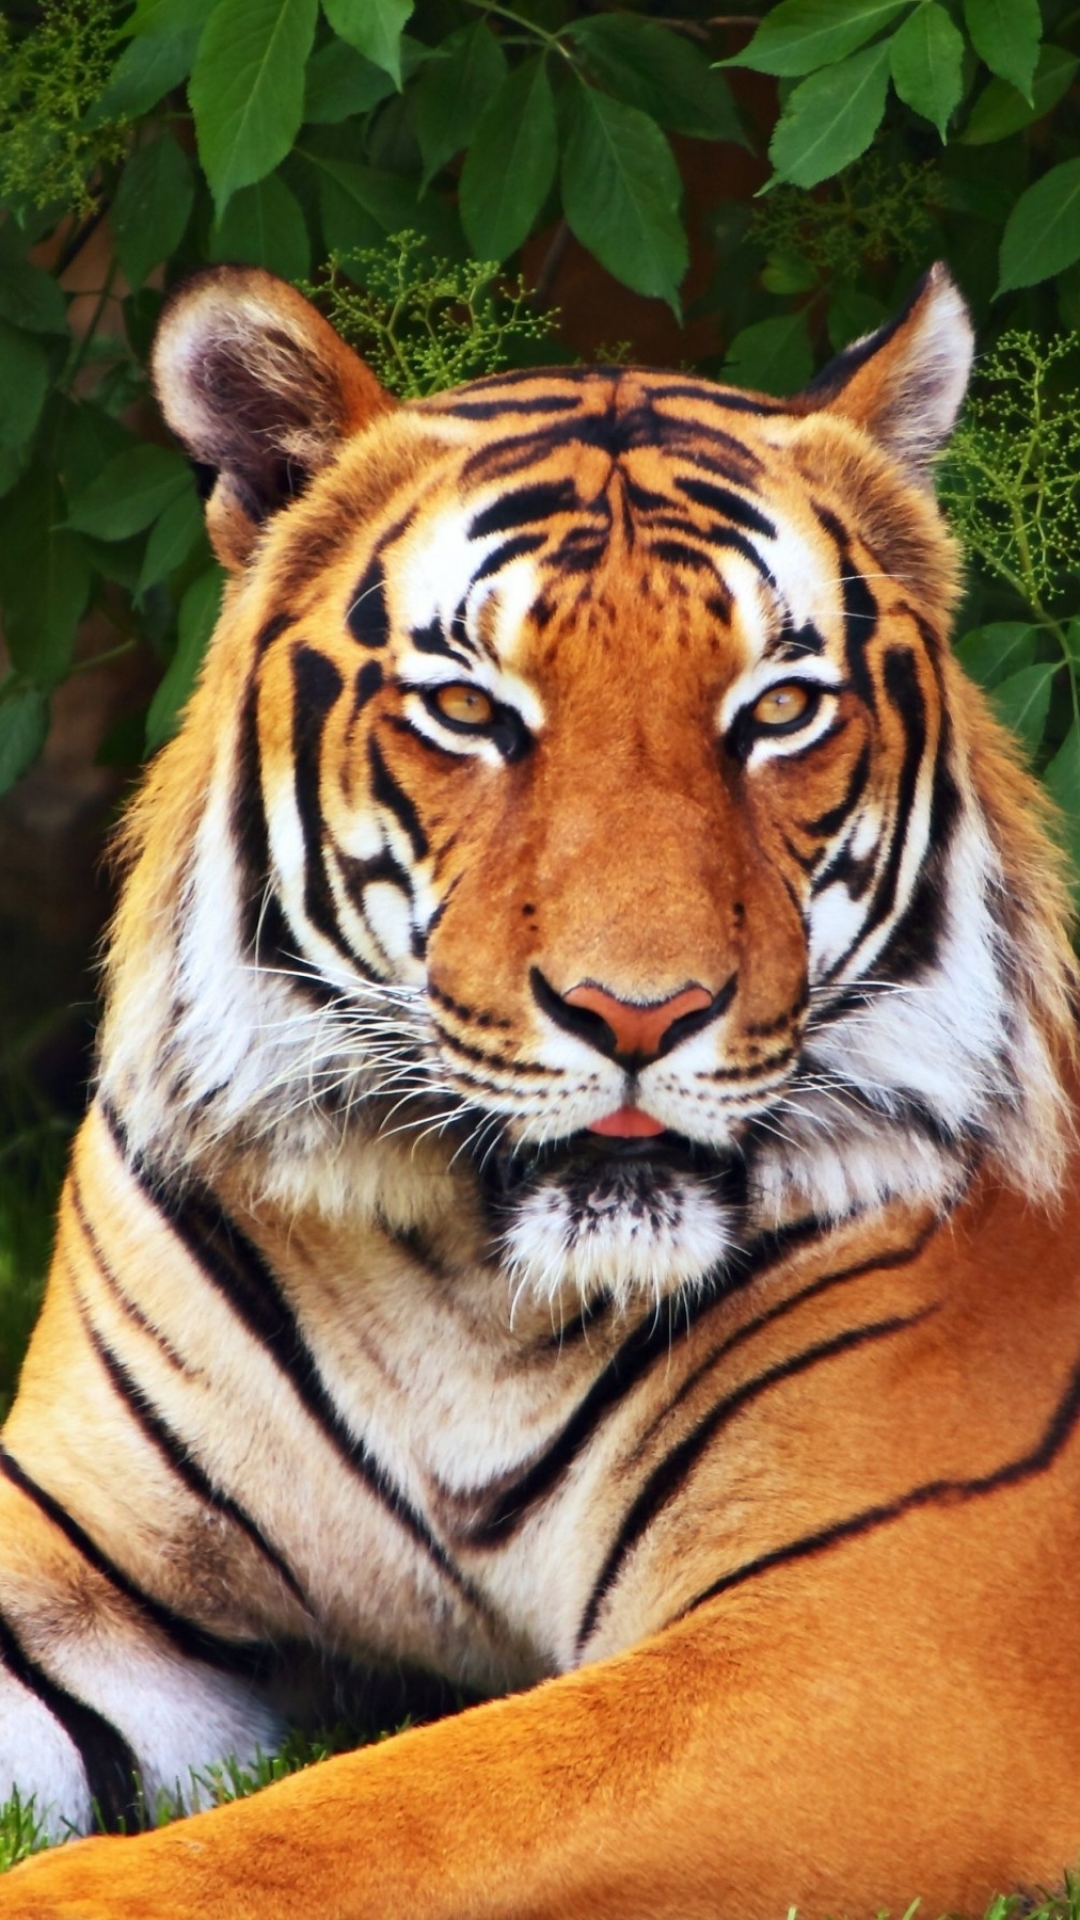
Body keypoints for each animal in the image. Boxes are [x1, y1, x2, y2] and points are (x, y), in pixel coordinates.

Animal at [1, 258, 1079, 1920]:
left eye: (778, 710)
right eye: (470, 709)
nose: (641, 1013)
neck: (467, 1286)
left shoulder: (873, 1635)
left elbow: (376, 1817)